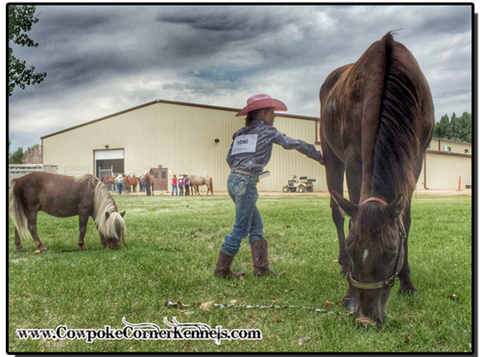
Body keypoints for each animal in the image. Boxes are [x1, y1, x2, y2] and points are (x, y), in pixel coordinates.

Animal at [318, 32, 436, 326]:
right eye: (352, 249)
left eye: (392, 252)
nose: (366, 319)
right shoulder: (353, 159)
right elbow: (351, 217)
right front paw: (350, 291)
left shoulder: (416, 156)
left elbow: (405, 218)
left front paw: (407, 283)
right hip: (332, 158)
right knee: (337, 210)